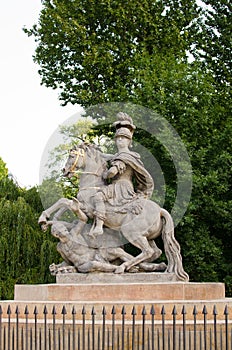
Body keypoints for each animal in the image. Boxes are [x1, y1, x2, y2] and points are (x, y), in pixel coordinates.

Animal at [38, 142, 188, 282]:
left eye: (72, 156)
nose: (64, 170)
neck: (92, 185)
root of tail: (160, 210)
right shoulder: (82, 208)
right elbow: (64, 202)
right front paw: (50, 220)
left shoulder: (85, 209)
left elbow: (65, 202)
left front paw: (43, 218)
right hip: (147, 236)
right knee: (155, 252)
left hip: (131, 232)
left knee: (147, 251)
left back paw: (123, 267)